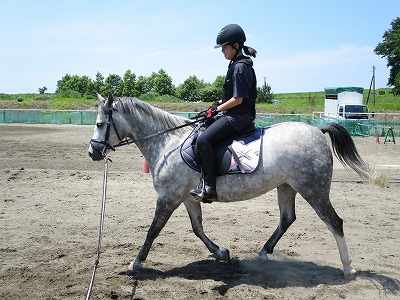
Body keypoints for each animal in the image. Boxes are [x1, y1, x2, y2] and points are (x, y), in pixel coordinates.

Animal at [87, 94, 372, 278]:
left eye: (100, 124)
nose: (93, 152)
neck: (168, 142)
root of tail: (317, 130)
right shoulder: (187, 198)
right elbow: (197, 228)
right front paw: (221, 252)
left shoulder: (168, 197)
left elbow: (153, 230)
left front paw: (136, 263)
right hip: (286, 186)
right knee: (287, 218)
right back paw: (263, 253)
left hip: (314, 189)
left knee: (334, 222)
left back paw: (348, 268)